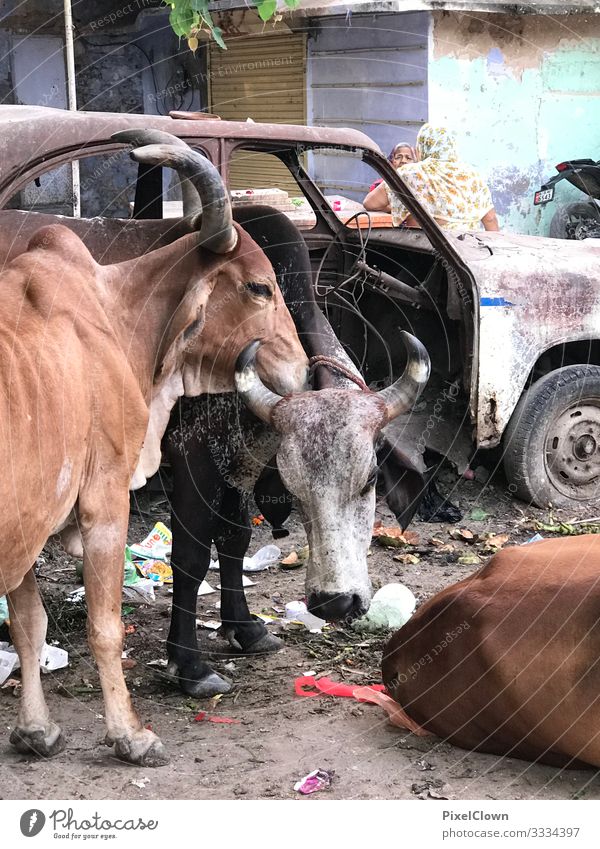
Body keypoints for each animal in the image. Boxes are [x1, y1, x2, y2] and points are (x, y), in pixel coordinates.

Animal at [0, 136, 308, 764]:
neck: (115, 317)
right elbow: (104, 626)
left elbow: (28, 625)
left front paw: (36, 730)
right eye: (259, 287)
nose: (302, 367)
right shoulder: (102, 501)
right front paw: (128, 733)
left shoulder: (29, 515)